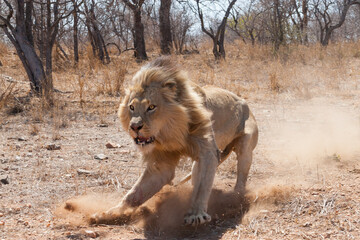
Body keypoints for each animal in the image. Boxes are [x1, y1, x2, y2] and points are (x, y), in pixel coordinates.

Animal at [90, 57, 258, 226]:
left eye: (151, 107)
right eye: (131, 107)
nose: (134, 127)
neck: (171, 134)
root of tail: (243, 101)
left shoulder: (208, 153)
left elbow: (202, 187)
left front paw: (195, 214)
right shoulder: (161, 163)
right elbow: (135, 192)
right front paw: (110, 213)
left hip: (245, 145)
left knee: (241, 175)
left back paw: (235, 198)